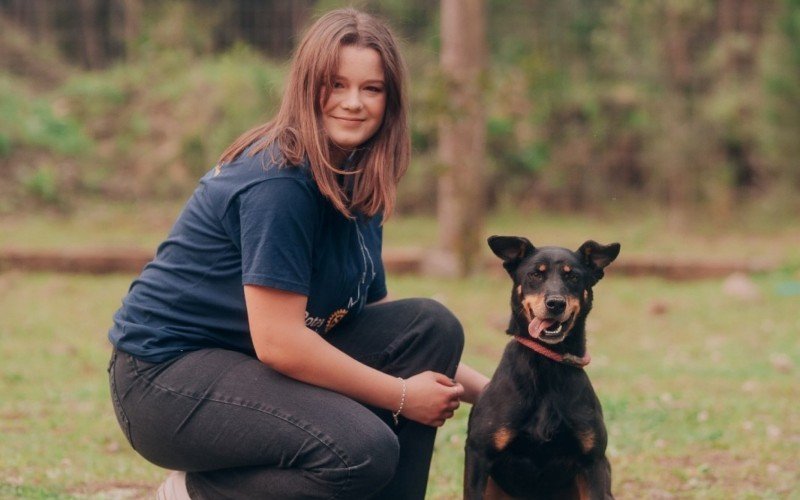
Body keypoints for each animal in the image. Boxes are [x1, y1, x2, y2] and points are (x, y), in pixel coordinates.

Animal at [466, 236, 620, 498]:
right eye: (535, 274)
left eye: (573, 277)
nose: (555, 303)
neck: (546, 364)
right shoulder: (478, 454)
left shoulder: (593, 461)